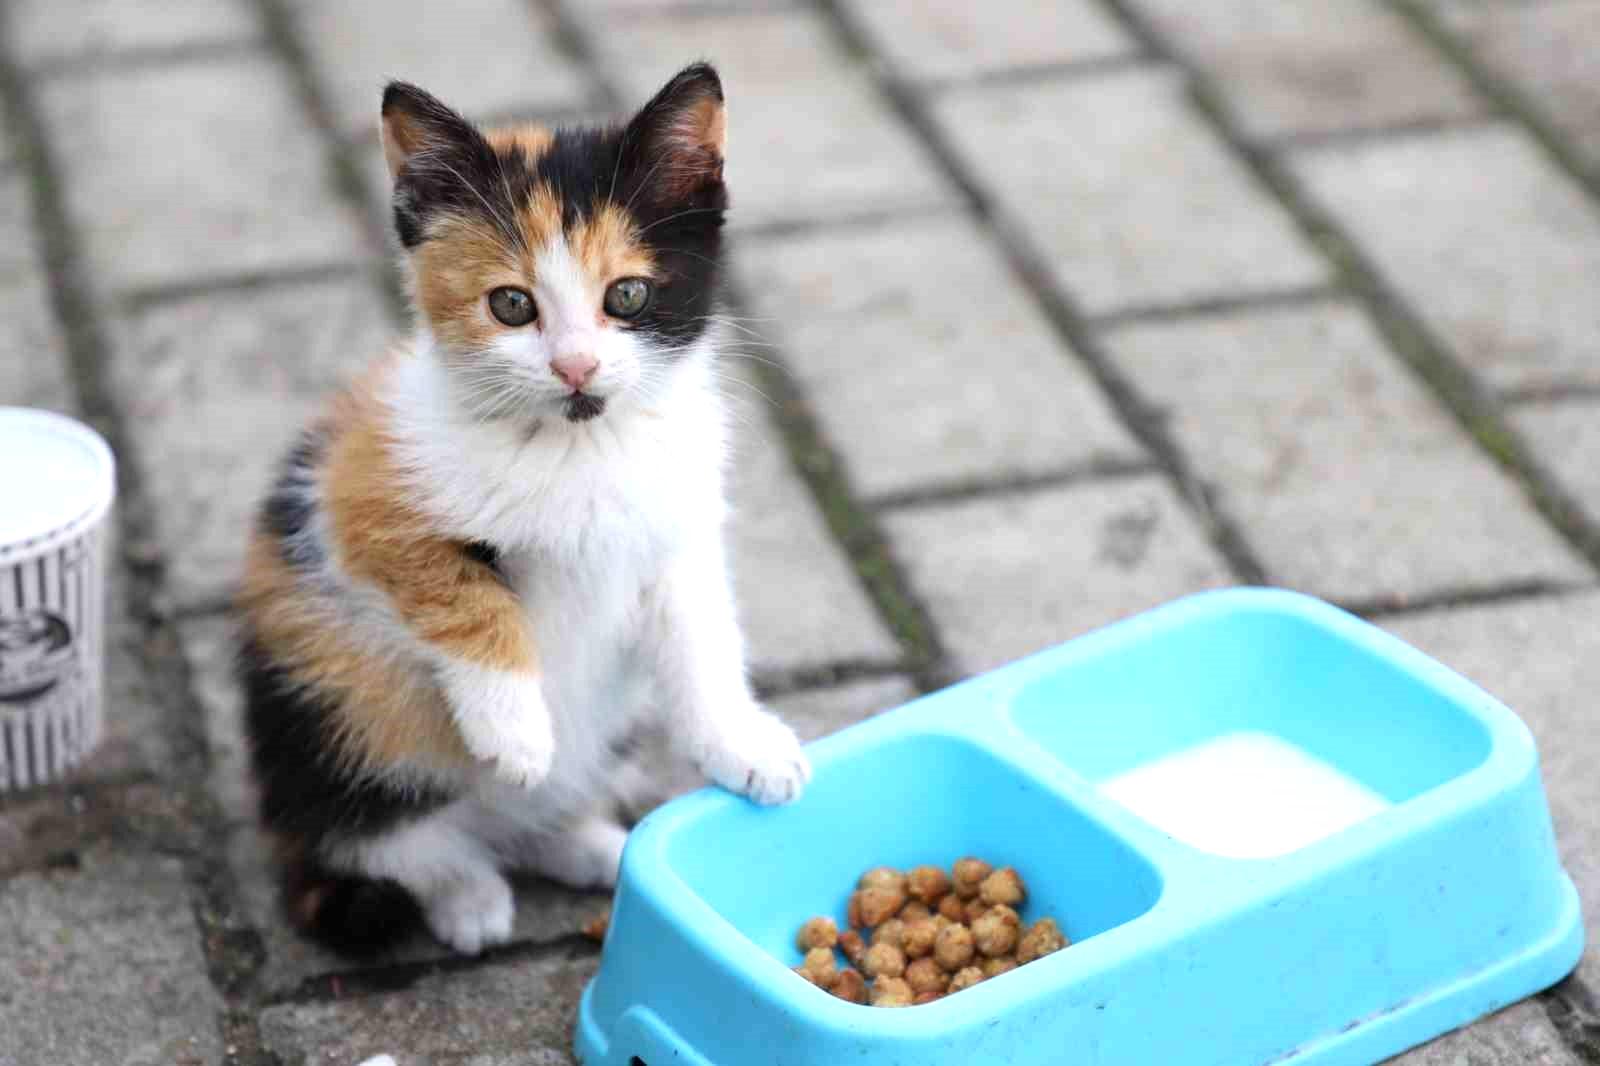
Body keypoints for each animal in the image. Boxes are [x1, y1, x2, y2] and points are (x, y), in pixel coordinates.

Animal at [233, 62, 812, 947]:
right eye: (511, 304)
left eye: (628, 295)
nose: (575, 367)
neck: (579, 445)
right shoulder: (353, 490)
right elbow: (455, 587)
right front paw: (514, 733)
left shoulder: (677, 533)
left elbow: (700, 641)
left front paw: (743, 744)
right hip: (340, 721)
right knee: (393, 841)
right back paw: (471, 897)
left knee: (529, 822)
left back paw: (590, 846)